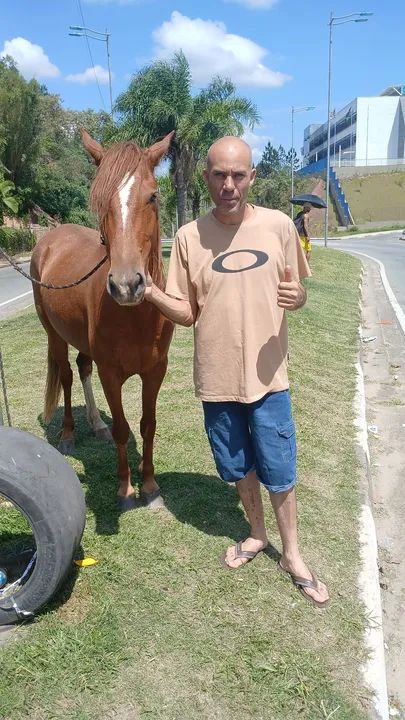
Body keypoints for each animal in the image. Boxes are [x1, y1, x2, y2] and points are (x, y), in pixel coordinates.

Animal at [30, 129, 175, 511]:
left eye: (153, 196)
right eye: (99, 199)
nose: (126, 285)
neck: (136, 316)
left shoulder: (156, 371)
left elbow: (148, 424)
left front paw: (150, 486)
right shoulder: (112, 375)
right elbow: (124, 428)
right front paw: (125, 491)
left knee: (82, 368)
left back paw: (96, 425)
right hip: (53, 333)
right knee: (66, 375)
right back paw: (68, 434)